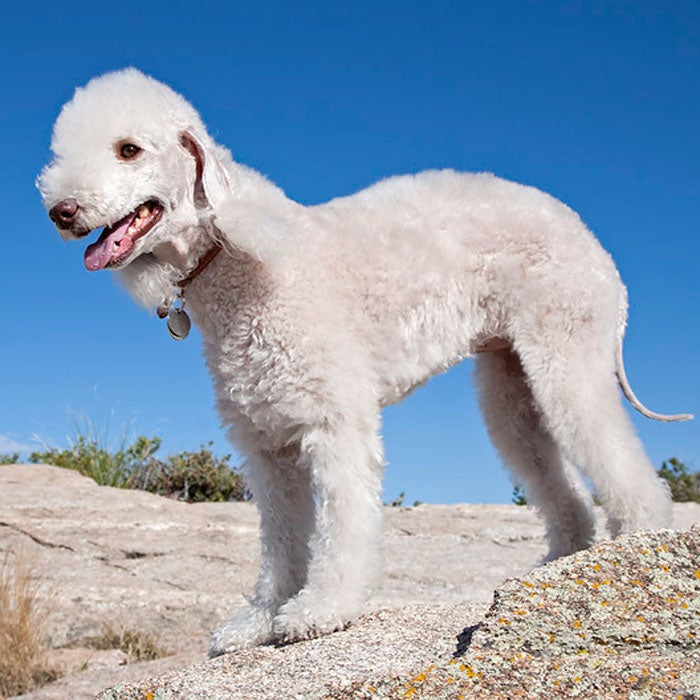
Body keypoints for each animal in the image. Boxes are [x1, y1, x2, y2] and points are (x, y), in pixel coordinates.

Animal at [38, 69, 688, 656]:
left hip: (566, 355)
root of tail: (587, 236)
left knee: (623, 466)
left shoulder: (333, 422)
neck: (240, 263)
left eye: (129, 149)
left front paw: (320, 611)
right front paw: (257, 621)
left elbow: (341, 525)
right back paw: (555, 563)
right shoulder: (265, 442)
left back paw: (634, 548)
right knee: (560, 487)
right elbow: (280, 539)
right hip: (511, 388)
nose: (61, 213)